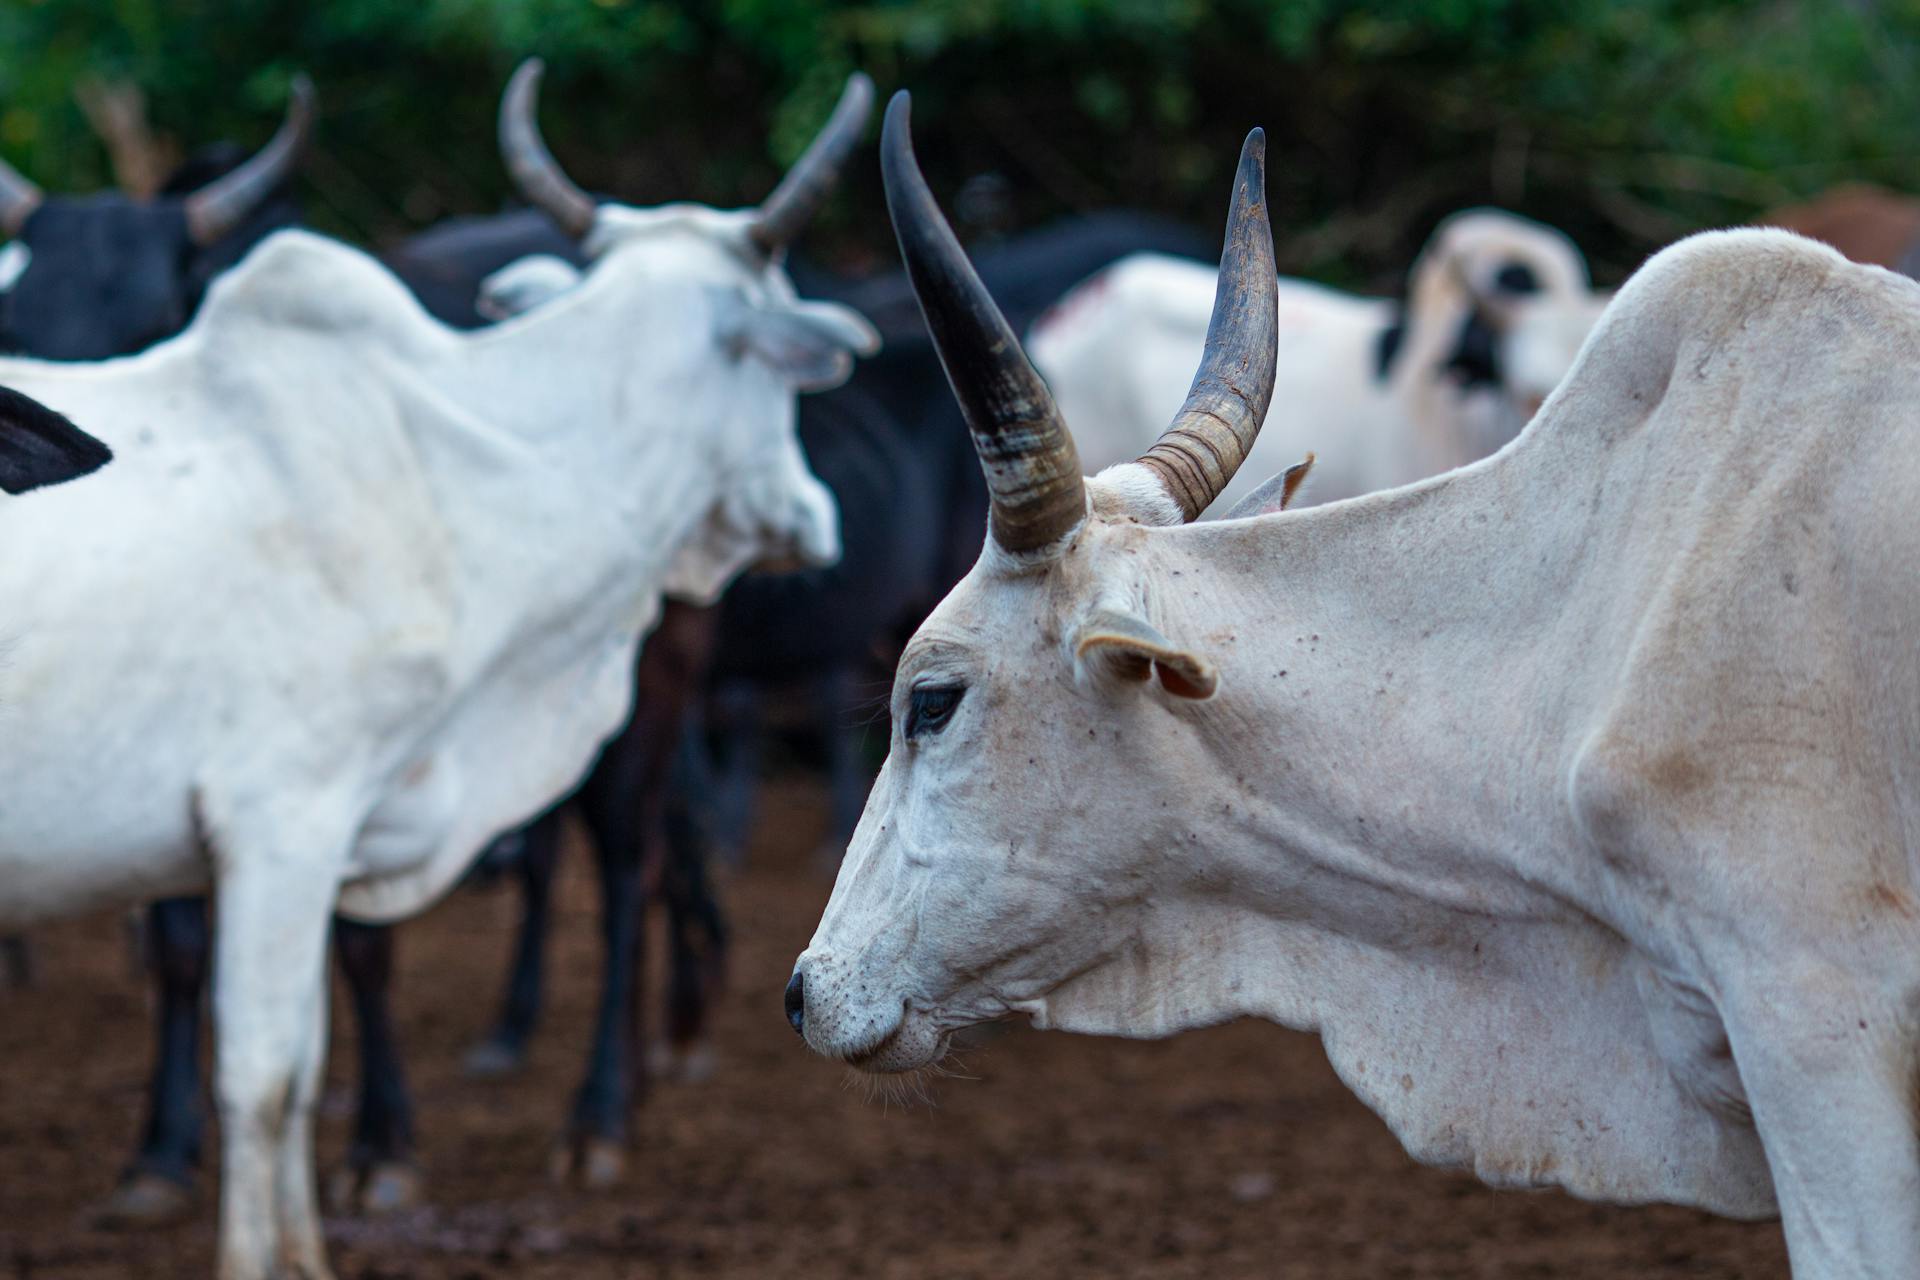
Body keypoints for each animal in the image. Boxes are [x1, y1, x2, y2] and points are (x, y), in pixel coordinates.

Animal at [0, 67, 879, 1280]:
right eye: (779, 366)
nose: (816, 514)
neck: (456, 458)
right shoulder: (280, 821)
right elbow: (263, 1075)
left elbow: (304, 1057)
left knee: (630, 868)